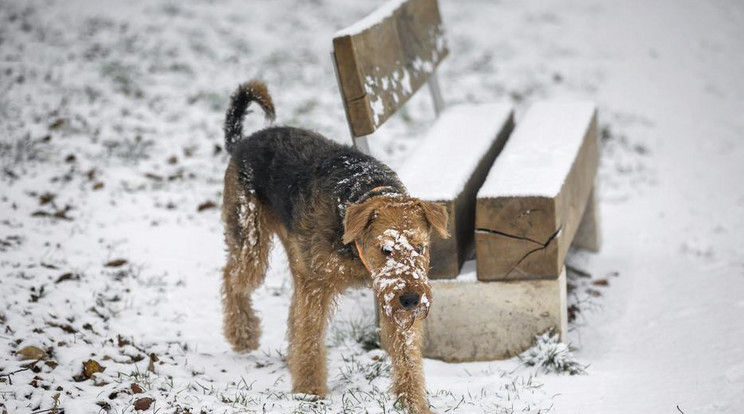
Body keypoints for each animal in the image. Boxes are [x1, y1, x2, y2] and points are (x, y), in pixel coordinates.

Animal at [219, 79, 448, 412]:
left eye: (420, 248)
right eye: (385, 249)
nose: (410, 300)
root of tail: (241, 142)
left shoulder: (385, 298)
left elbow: (406, 355)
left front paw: (413, 402)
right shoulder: (317, 285)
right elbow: (311, 338)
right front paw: (309, 391)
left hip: (295, 255)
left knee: (288, 309)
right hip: (251, 240)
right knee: (231, 278)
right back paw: (243, 336)